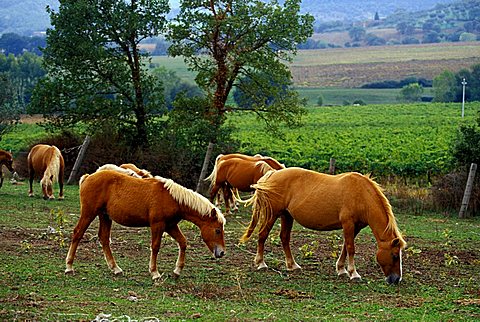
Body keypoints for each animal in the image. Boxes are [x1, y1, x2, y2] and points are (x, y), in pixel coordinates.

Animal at [64, 169, 227, 280]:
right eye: (218, 230)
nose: (222, 253)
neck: (172, 198)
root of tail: (88, 177)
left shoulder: (170, 226)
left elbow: (183, 242)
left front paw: (177, 271)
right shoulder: (157, 225)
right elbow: (155, 247)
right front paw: (155, 273)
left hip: (105, 216)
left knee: (104, 239)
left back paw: (115, 268)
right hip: (89, 213)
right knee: (78, 233)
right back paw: (69, 267)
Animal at [242, 167, 406, 286]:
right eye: (394, 255)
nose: (396, 279)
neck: (361, 194)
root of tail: (273, 174)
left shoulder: (356, 227)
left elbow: (345, 247)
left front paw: (341, 270)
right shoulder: (348, 224)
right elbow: (351, 248)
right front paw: (353, 273)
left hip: (286, 216)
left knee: (284, 238)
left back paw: (292, 265)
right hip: (272, 215)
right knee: (263, 235)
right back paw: (261, 263)